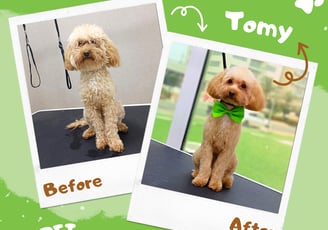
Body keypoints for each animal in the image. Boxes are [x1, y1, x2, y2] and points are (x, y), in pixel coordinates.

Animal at [63, 23, 127, 153]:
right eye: (80, 43)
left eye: (93, 42)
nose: (86, 52)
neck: (92, 72)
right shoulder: (91, 107)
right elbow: (98, 125)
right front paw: (102, 141)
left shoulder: (108, 104)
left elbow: (111, 126)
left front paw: (114, 143)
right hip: (86, 112)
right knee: (92, 125)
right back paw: (89, 131)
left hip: (119, 107)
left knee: (117, 121)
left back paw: (121, 126)